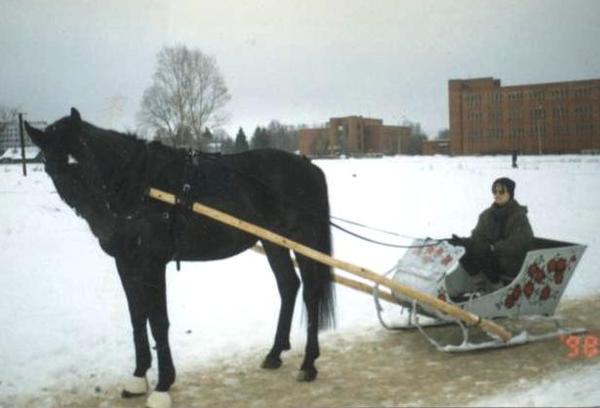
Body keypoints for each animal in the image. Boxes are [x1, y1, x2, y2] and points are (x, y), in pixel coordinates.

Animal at [25, 107, 336, 404]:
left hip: (304, 241)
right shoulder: (125, 263)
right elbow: (137, 317)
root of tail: (309, 166)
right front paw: (138, 377)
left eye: (85, 159)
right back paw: (275, 353)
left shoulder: (152, 263)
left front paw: (163, 385)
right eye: (53, 169)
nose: (105, 226)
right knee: (288, 286)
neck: (141, 187)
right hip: (274, 243)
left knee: (311, 293)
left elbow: (158, 322)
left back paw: (308, 364)